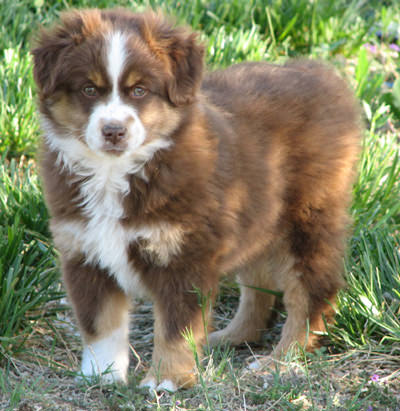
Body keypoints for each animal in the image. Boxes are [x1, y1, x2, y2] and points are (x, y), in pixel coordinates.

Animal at [32, 8, 360, 392]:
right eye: (88, 89)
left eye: (140, 90)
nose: (114, 131)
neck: (117, 173)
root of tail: (322, 75)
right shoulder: (85, 252)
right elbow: (100, 326)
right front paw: (101, 376)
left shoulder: (184, 255)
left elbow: (176, 328)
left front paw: (166, 380)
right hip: (256, 216)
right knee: (258, 284)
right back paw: (231, 336)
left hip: (306, 221)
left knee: (309, 293)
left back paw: (280, 361)